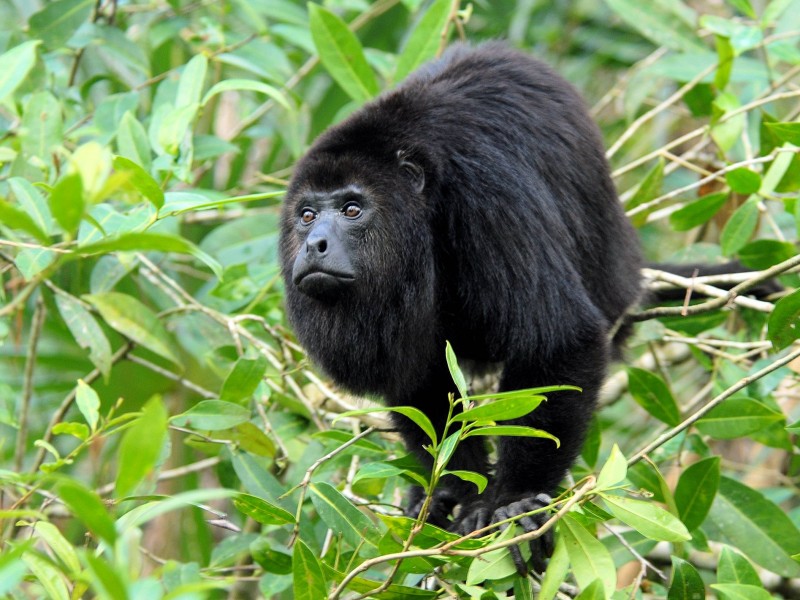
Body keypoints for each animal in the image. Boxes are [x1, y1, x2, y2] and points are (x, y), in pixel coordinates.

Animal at [282, 43, 644, 572]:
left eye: (352, 209)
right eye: (307, 215)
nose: (313, 244)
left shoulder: (486, 194)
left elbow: (559, 339)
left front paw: (514, 501)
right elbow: (417, 379)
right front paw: (453, 493)